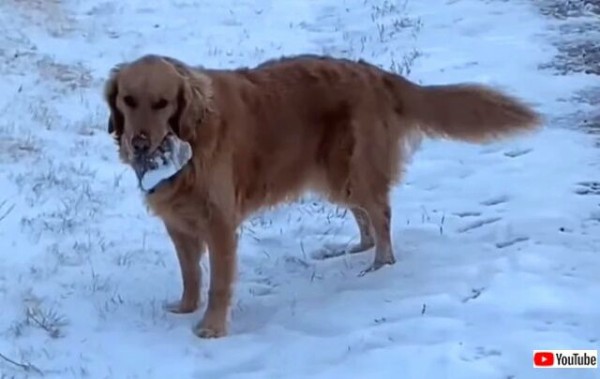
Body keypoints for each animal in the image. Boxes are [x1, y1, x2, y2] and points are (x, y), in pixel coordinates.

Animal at [104, 53, 544, 338]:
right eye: (128, 100)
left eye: (162, 103)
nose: (138, 143)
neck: (190, 136)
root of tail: (375, 73)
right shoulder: (178, 223)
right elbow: (191, 273)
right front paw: (185, 307)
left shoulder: (220, 223)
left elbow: (219, 283)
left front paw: (211, 327)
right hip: (335, 176)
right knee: (365, 216)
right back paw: (357, 250)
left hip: (352, 168)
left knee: (381, 213)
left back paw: (380, 264)